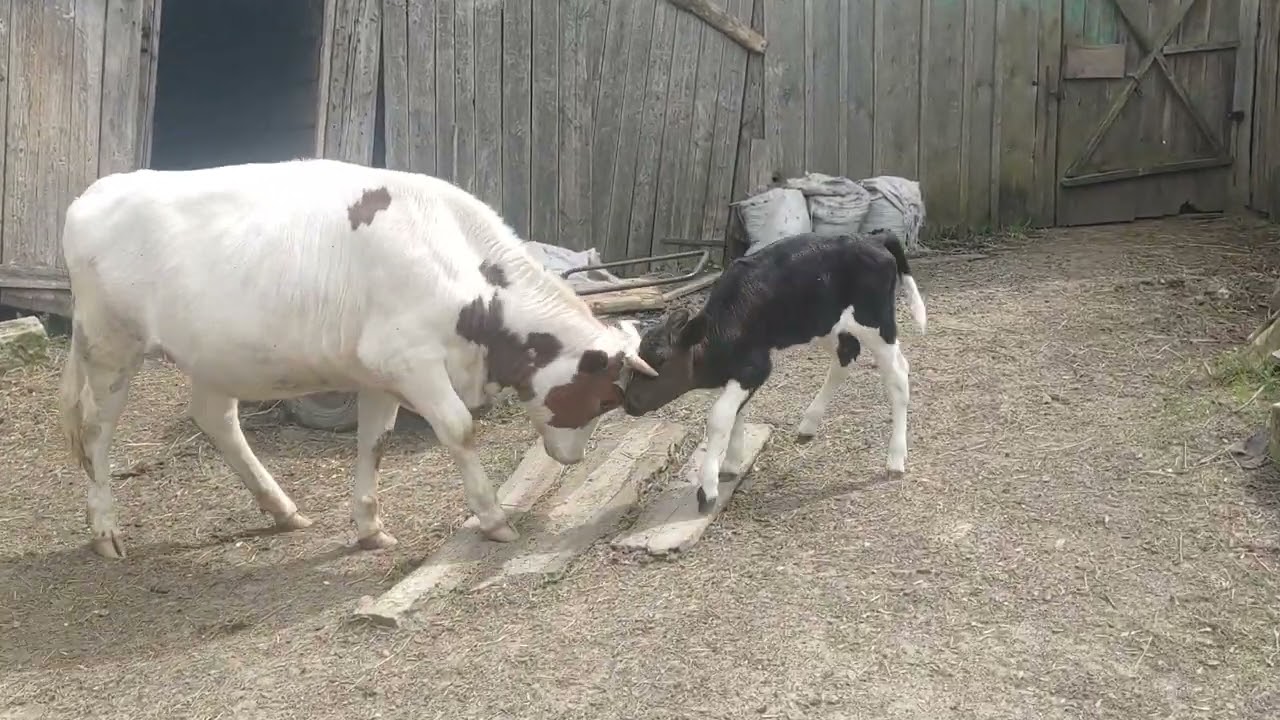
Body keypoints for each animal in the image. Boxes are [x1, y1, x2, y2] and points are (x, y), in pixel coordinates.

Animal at [57, 158, 657, 559]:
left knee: (216, 418)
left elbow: (376, 442)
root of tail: (95, 192)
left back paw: (282, 509)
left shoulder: (380, 372)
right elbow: (459, 429)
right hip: (110, 344)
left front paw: (368, 526)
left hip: (215, 353)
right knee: (95, 432)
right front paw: (492, 518)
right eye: (603, 398)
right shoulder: (411, 361)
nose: (572, 459)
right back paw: (105, 530)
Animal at [620, 229, 927, 513]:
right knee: (845, 357)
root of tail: (872, 237)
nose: (629, 401)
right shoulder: (741, 371)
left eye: (661, 359)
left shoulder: (756, 367)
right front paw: (730, 464)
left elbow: (720, 417)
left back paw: (895, 459)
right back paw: (809, 423)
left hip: (877, 323)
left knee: (898, 374)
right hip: (827, 325)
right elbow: (737, 413)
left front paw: (708, 489)